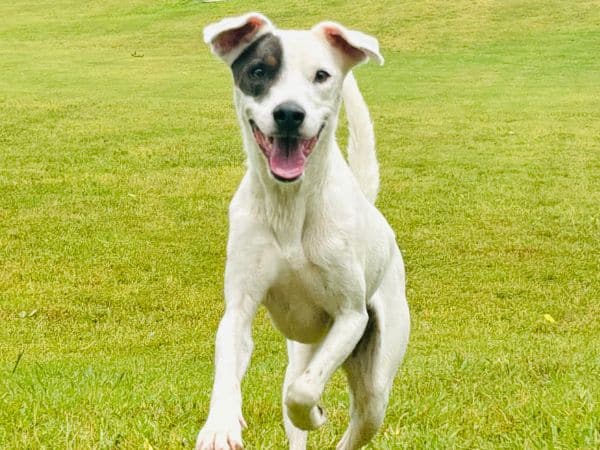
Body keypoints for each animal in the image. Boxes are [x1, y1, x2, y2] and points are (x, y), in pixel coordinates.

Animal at [196, 13, 408, 450]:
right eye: (259, 71)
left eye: (321, 75)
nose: (289, 113)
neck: (290, 209)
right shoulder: (240, 305)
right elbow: (229, 359)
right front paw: (220, 424)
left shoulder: (350, 317)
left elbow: (305, 392)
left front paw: (315, 413)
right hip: (302, 351)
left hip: (376, 387)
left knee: (352, 416)